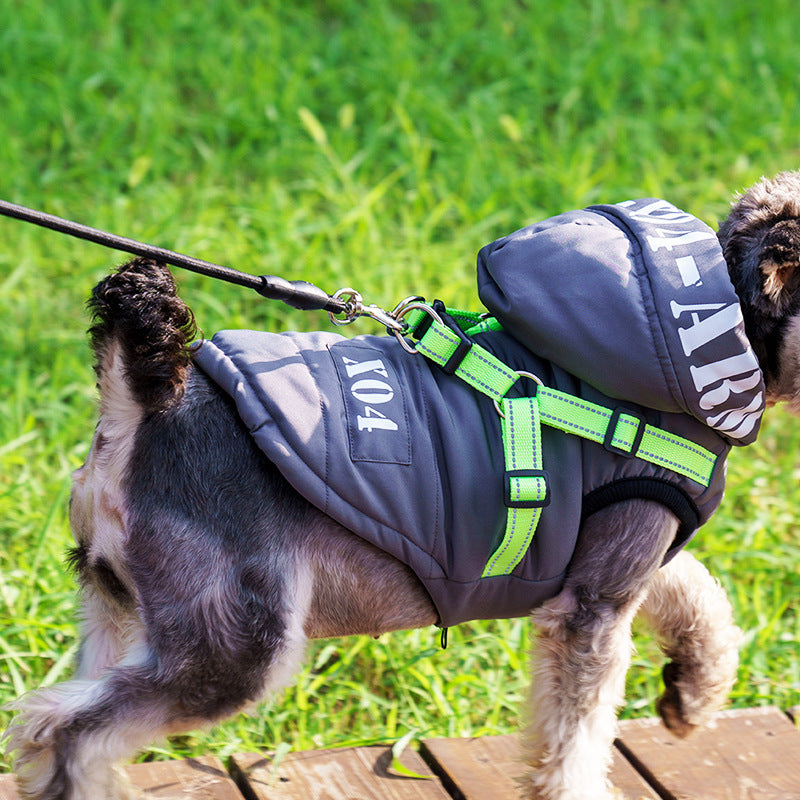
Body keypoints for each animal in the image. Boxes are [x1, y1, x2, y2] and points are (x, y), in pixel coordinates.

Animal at [6, 170, 800, 800]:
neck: (721, 323)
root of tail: (144, 406)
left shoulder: (616, 558)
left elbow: (696, 592)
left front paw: (695, 690)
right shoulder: (592, 604)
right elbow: (574, 738)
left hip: (120, 610)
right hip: (234, 643)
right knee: (64, 730)